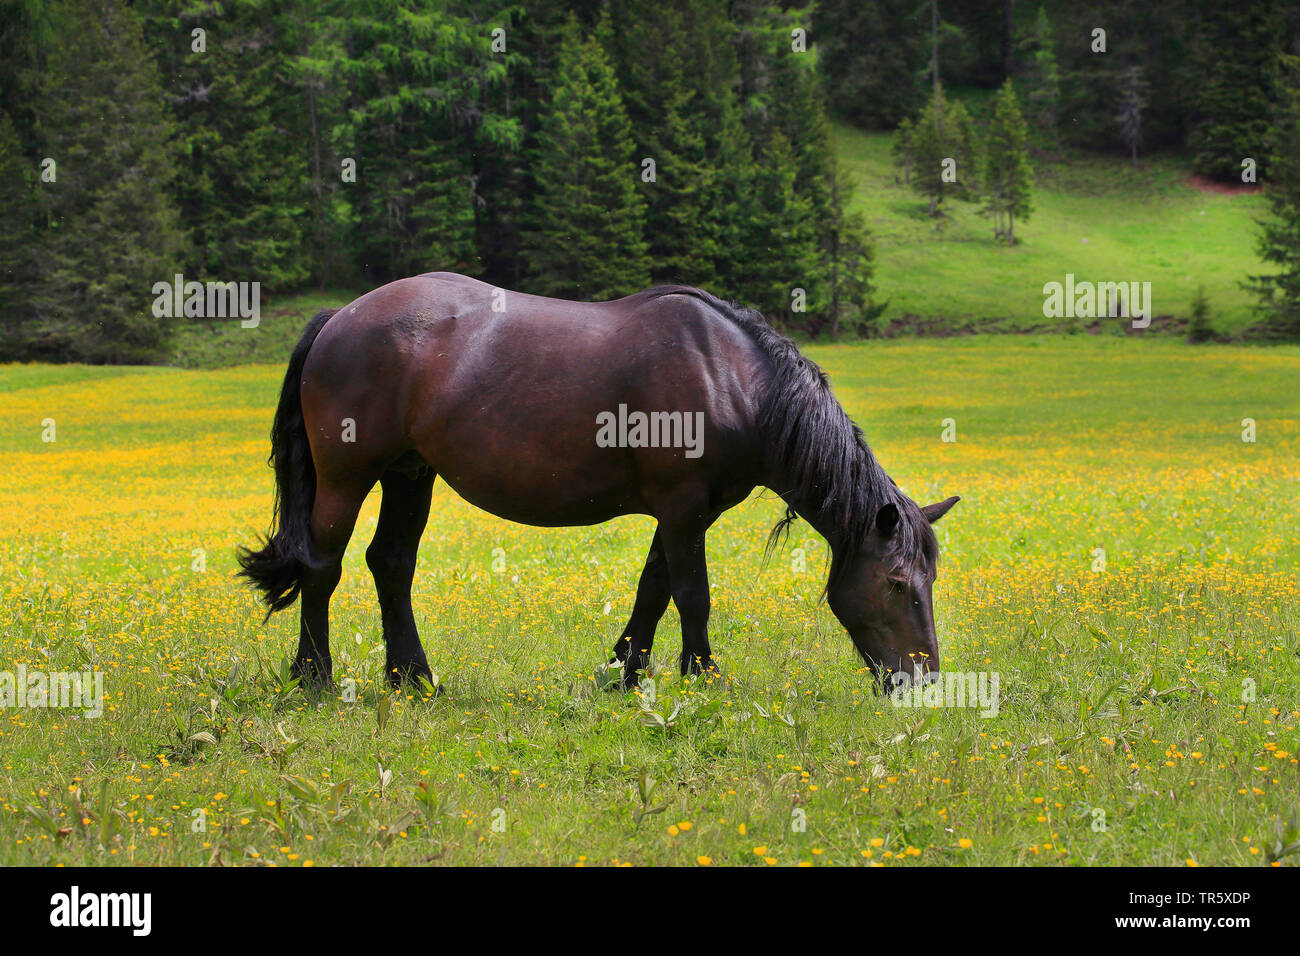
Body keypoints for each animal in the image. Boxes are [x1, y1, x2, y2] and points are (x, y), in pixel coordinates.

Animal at [239, 273, 961, 691]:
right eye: (898, 584)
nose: (923, 682)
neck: (731, 378)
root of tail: (338, 317)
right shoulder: (682, 508)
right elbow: (692, 596)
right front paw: (703, 677)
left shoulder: (685, 512)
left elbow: (654, 591)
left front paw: (624, 673)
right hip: (348, 477)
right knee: (322, 567)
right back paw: (315, 679)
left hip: (410, 475)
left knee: (390, 564)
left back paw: (412, 680)